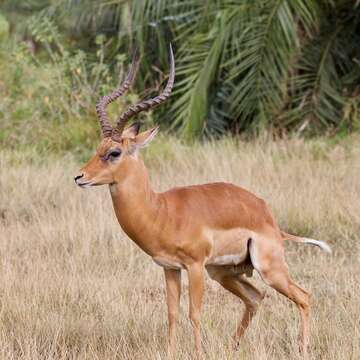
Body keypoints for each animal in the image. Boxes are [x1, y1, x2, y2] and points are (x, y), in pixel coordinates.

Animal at [74, 46, 332, 358]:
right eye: (97, 148)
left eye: (114, 152)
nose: (79, 176)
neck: (162, 211)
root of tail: (269, 218)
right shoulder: (170, 268)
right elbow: (172, 313)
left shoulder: (195, 266)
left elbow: (194, 313)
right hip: (223, 272)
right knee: (256, 297)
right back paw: (232, 349)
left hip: (267, 268)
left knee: (304, 296)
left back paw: (302, 349)